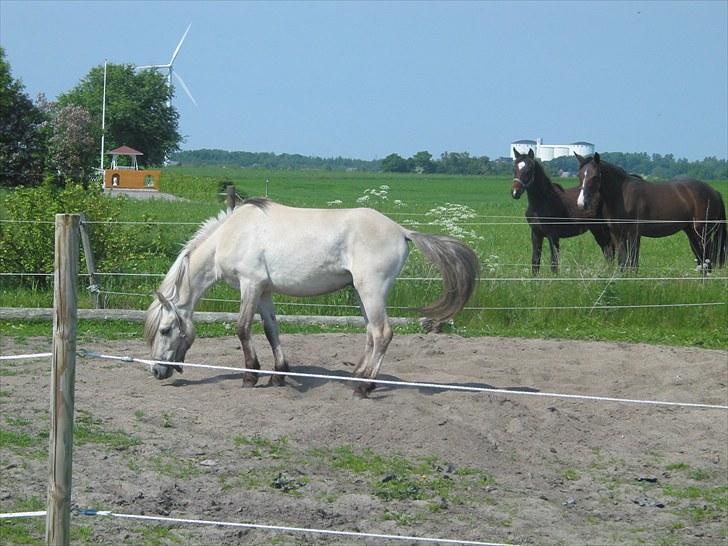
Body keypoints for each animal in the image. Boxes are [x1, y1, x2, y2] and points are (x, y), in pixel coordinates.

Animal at [145, 198, 480, 394]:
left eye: (165, 330)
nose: (157, 372)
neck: (230, 235)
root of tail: (401, 231)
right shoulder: (264, 291)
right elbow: (271, 330)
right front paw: (279, 374)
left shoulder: (250, 285)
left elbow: (242, 329)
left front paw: (251, 375)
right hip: (361, 292)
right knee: (370, 333)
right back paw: (357, 376)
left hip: (370, 290)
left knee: (382, 333)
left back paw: (365, 386)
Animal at [576, 151, 724, 270]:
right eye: (579, 176)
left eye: (595, 177)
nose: (582, 203)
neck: (622, 195)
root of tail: (714, 192)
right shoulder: (617, 236)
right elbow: (622, 263)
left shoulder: (633, 235)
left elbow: (633, 263)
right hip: (692, 233)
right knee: (701, 261)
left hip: (703, 234)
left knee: (706, 260)